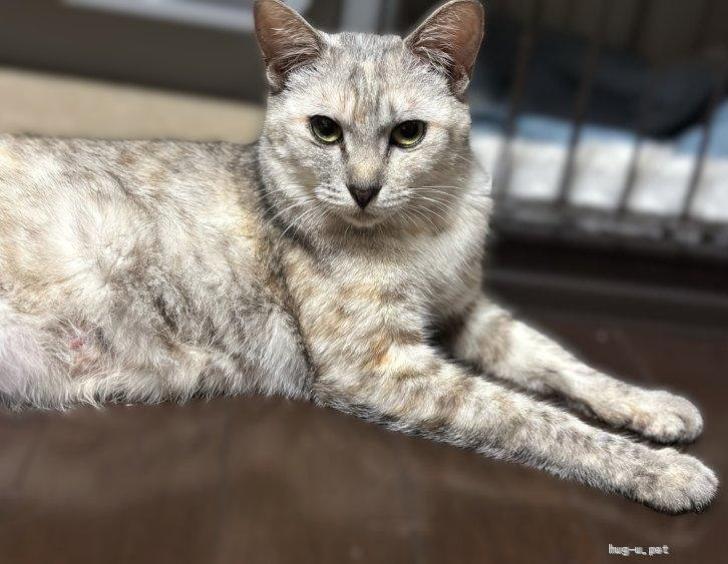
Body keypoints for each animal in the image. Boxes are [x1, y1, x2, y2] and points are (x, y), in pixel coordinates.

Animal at [0, 0, 718, 514]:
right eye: (325, 130)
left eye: (410, 134)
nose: (365, 189)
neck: (421, 231)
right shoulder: (381, 362)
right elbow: (529, 416)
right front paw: (661, 470)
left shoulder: (466, 311)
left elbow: (557, 360)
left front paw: (650, 403)